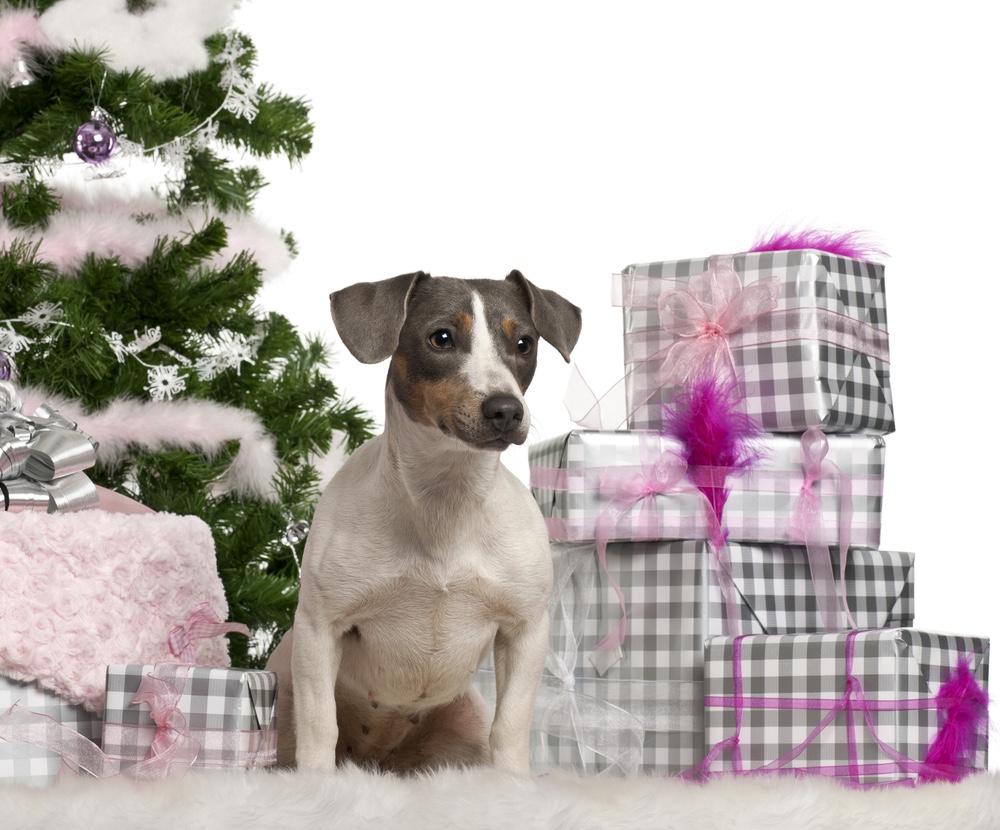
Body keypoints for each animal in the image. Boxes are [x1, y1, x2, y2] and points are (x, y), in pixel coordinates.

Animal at [266, 270, 584, 776]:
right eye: (441, 338)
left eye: (524, 343)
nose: (506, 409)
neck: (445, 500)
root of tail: (381, 761)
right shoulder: (320, 629)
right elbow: (319, 725)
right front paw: (317, 783)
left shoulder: (525, 632)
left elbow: (511, 726)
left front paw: (514, 784)